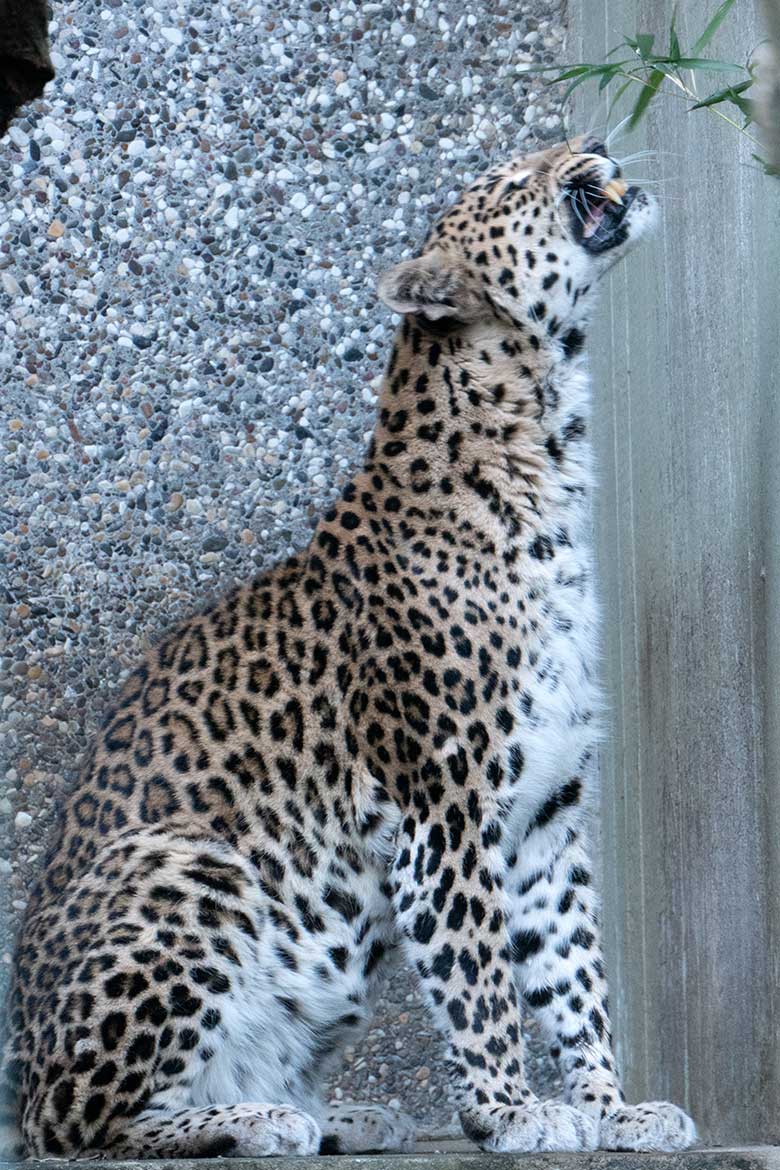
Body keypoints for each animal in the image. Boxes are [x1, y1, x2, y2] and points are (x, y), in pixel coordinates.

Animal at [0, 136, 696, 1160]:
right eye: (512, 179)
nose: (595, 144)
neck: (547, 439)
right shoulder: (443, 807)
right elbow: (481, 978)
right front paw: (514, 1109)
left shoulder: (548, 811)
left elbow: (575, 975)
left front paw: (613, 1109)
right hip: (189, 866)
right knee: (78, 1122)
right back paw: (255, 1120)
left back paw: (340, 1116)